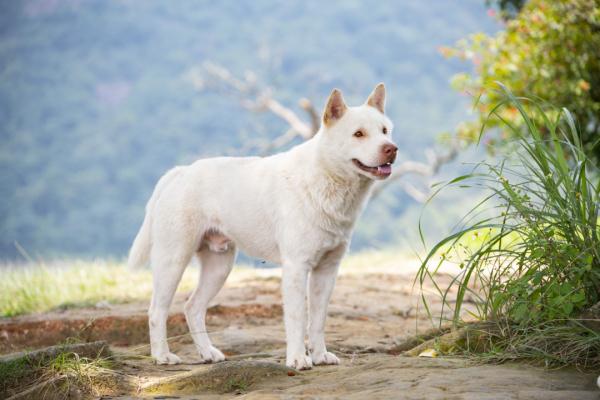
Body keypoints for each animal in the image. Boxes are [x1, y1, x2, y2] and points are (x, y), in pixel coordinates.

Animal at [129, 83, 396, 368]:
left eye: (384, 131)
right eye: (358, 134)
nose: (392, 149)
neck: (326, 179)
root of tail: (179, 172)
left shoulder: (327, 270)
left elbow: (318, 320)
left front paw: (320, 355)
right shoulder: (296, 268)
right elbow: (297, 318)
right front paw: (298, 359)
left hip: (219, 266)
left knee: (193, 307)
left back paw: (208, 352)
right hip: (173, 260)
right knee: (156, 311)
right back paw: (162, 355)